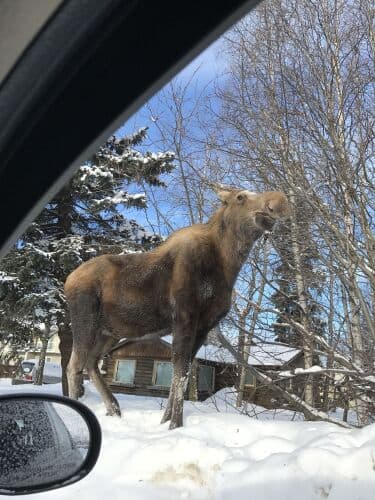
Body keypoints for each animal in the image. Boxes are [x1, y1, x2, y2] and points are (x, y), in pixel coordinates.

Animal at [63, 189, 290, 428]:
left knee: (91, 362)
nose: (277, 203)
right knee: (73, 365)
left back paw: (114, 408)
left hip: (110, 332)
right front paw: (175, 424)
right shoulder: (184, 316)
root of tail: (68, 280)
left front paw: (166, 421)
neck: (227, 266)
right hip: (85, 320)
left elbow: (186, 371)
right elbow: (179, 371)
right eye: (240, 197)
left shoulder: (205, 326)